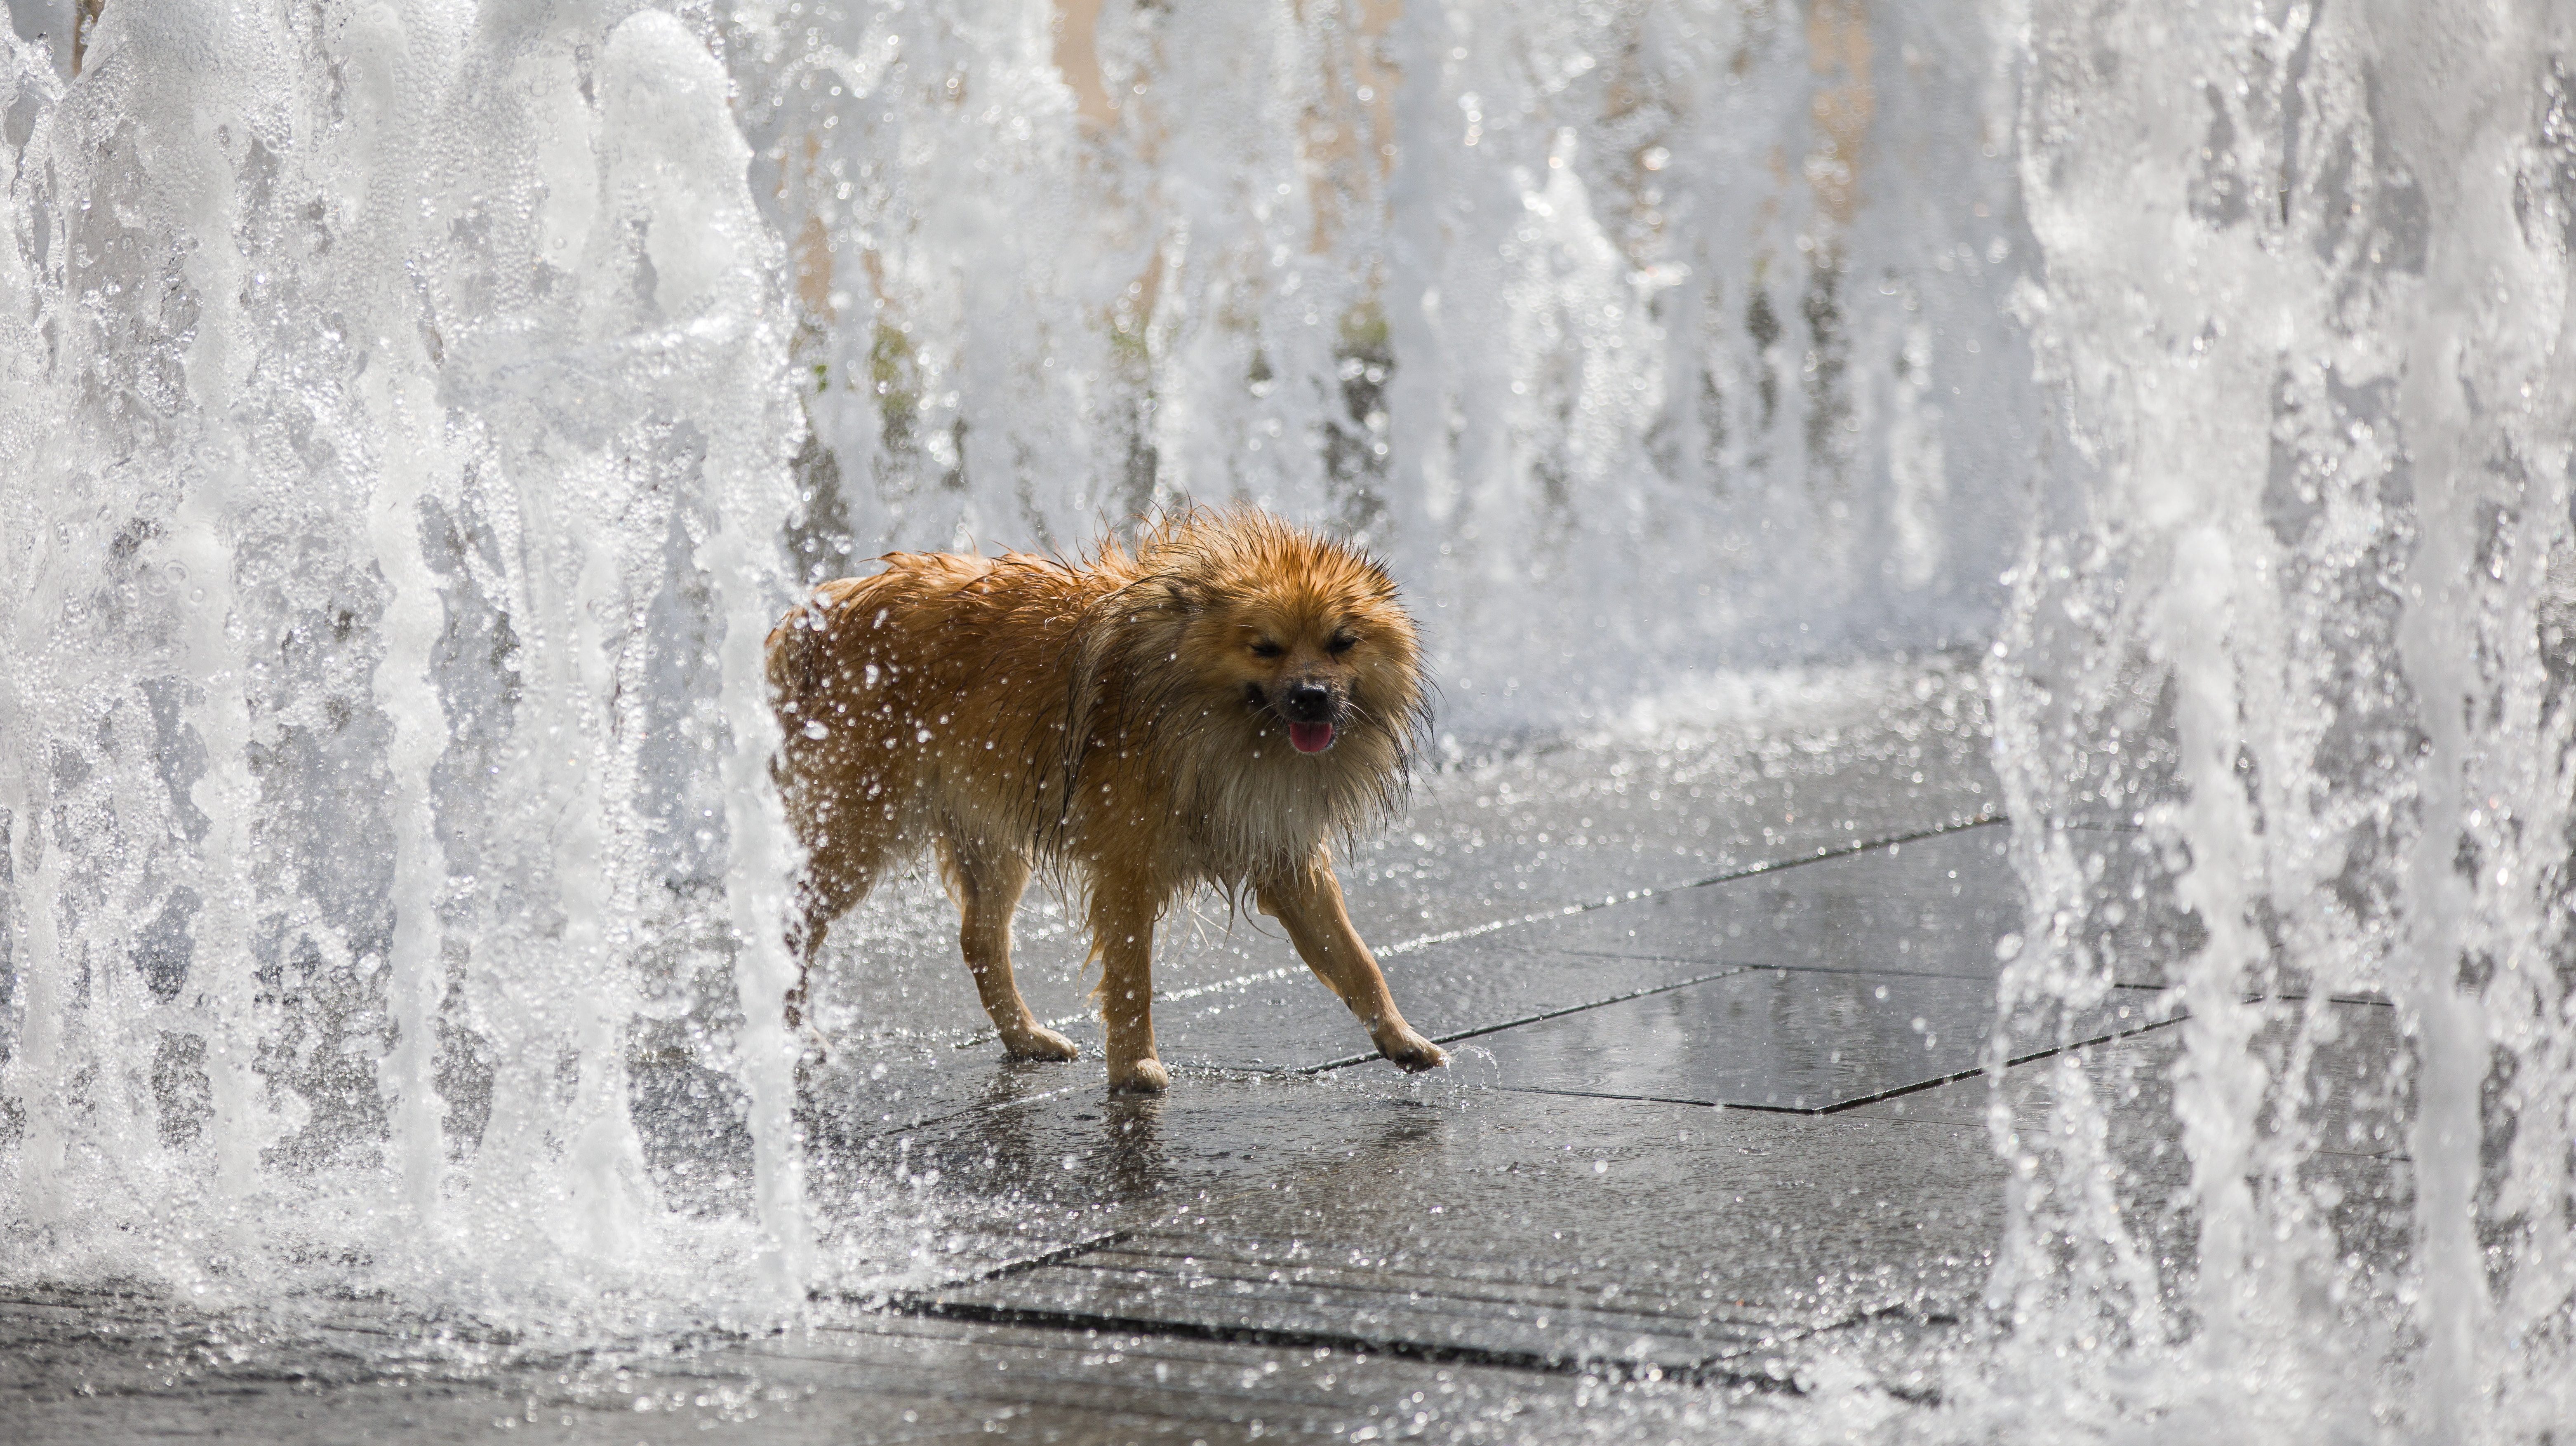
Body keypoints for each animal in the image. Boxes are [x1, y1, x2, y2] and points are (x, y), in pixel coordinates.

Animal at [762, 510, 1453, 1093]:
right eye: (1265, 646)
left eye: (1342, 642)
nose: (1312, 695)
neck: (1215, 723)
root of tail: (820, 612)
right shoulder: (1126, 869)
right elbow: (1131, 979)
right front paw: (1135, 1066)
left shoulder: (1284, 855)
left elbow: (1356, 959)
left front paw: (1402, 1038)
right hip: (858, 830)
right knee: (793, 926)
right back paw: (791, 1035)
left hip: (989, 839)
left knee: (979, 939)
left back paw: (1025, 1035)